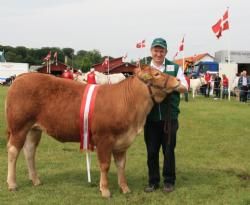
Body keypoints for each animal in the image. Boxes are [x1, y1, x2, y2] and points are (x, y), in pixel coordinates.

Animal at [5, 65, 180, 197]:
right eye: (157, 74)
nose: (178, 80)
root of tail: (22, 77)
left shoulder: (122, 142)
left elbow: (121, 165)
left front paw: (124, 188)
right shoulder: (104, 139)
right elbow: (105, 165)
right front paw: (105, 190)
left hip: (33, 129)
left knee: (29, 151)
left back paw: (35, 180)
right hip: (19, 126)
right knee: (13, 151)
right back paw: (12, 184)